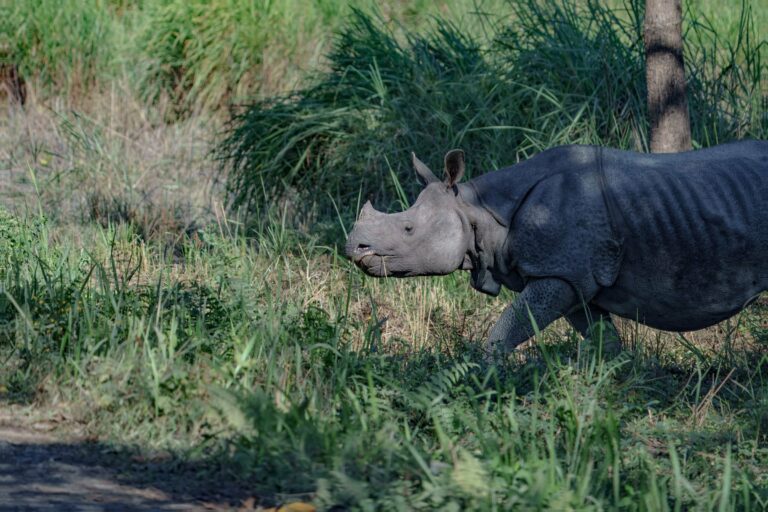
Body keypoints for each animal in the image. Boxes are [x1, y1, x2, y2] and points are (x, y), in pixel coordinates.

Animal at [345, 140, 768, 358]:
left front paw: (486, 380)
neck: (478, 208)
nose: (354, 248)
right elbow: (601, 339)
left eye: (408, 228)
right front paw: (610, 384)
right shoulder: (574, 280)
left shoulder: (559, 273)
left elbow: (505, 329)